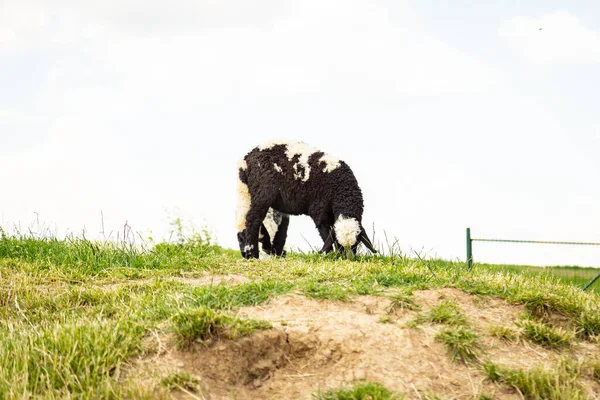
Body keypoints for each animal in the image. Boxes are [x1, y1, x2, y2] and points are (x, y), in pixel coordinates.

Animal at [234, 140, 376, 260]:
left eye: (356, 244)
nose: (348, 259)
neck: (340, 188)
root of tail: (246, 160)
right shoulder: (319, 210)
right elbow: (326, 234)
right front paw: (329, 254)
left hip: (248, 194)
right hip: (262, 192)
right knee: (252, 219)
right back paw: (253, 254)